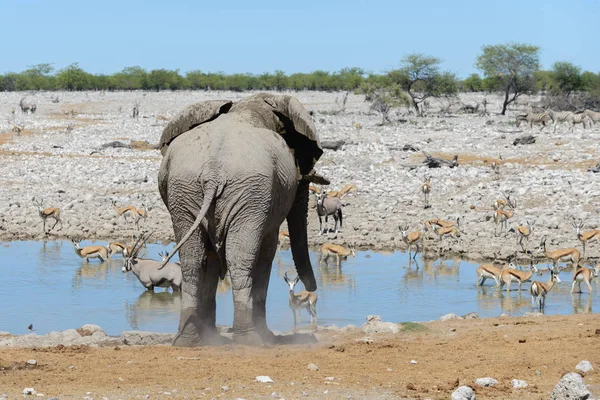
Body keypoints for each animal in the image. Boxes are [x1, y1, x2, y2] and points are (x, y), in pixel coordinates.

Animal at [157, 92, 326, 346]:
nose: (312, 289)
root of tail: (213, 171)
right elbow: (266, 251)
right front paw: (265, 336)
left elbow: (211, 257)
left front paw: (211, 336)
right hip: (249, 191)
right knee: (241, 259)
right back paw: (251, 339)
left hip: (185, 191)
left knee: (192, 261)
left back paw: (188, 339)